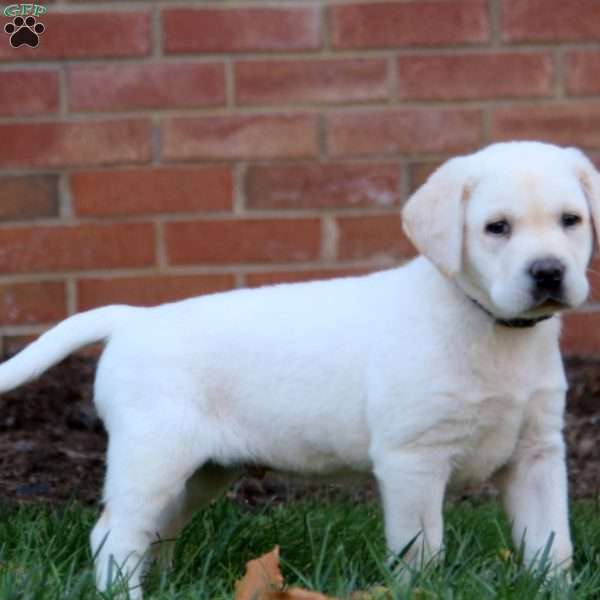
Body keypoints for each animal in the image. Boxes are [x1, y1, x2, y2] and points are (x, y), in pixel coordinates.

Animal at [0, 141, 596, 596]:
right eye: (497, 228)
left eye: (571, 220)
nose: (548, 272)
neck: (490, 326)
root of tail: (132, 318)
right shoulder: (413, 460)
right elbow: (421, 553)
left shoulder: (537, 454)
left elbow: (553, 545)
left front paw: (556, 588)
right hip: (152, 456)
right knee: (115, 535)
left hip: (200, 472)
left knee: (156, 531)